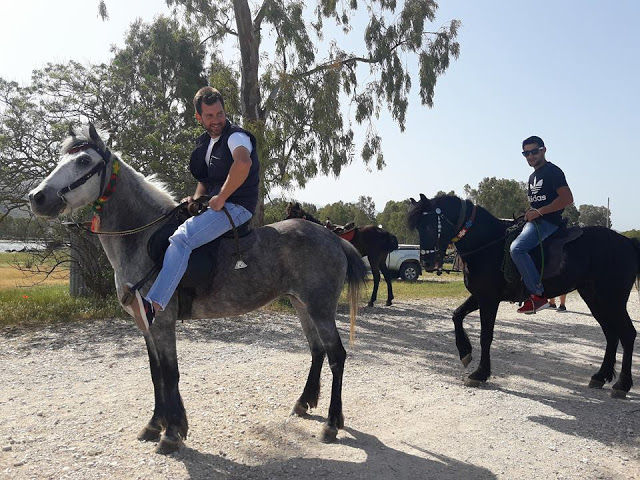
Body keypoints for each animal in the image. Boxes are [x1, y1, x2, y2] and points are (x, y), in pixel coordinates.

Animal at [410, 193, 640, 400]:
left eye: (429, 226)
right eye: (418, 227)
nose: (426, 263)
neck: (488, 244)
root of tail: (628, 243)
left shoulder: (489, 299)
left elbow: (486, 336)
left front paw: (480, 373)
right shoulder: (480, 296)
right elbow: (457, 315)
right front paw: (465, 353)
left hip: (613, 299)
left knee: (627, 334)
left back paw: (622, 385)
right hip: (595, 298)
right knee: (611, 334)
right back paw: (600, 376)